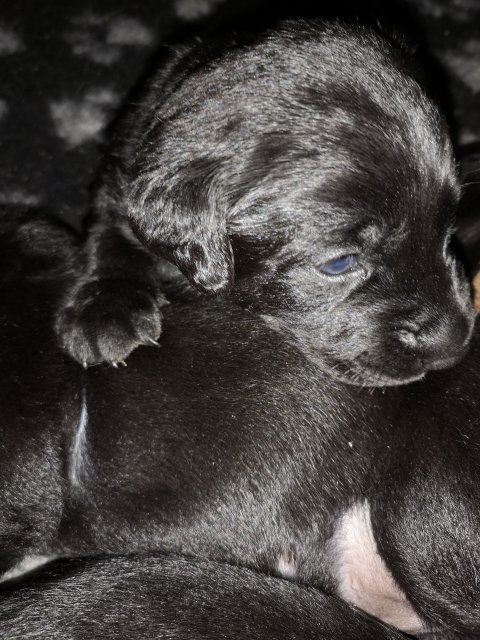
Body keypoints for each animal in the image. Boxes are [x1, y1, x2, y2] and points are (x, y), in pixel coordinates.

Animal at [53, 15, 474, 387]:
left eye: (448, 225)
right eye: (339, 263)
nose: (454, 344)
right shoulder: (122, 173)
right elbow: (109, 230)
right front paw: (105, 307)